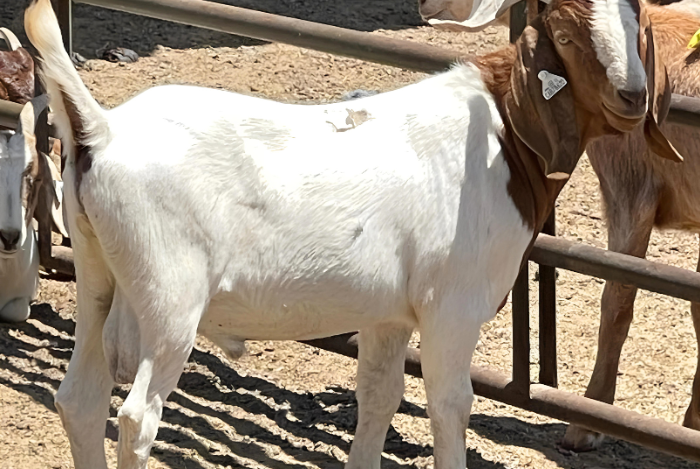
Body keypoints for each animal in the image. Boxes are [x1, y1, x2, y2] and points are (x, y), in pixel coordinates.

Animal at [25, 0, 679, 466]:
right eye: (566, 35)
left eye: (638, 21)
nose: (632, 97)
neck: (502, 132)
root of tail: (102, 131)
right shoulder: (451, 309)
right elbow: (450, 408)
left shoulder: (389, 315)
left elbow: (378, 400)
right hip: (169, 296)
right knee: (137, 419)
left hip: (99, 276)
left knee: (80, 401)